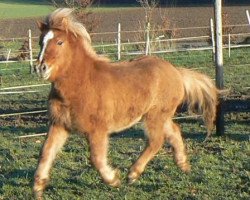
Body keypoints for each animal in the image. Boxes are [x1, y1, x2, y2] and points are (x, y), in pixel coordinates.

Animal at [33, 7, 219, 198]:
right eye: (40, 42)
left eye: (60, 42)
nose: (40, 68)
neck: (81, 84)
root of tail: (176, 72)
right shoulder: (59, 125)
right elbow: (46, 152)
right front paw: (38, 188)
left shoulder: (97, 129)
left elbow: (96, 158)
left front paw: (113, 179)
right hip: (160, 116)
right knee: (174, 131)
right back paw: (183, 165)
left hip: (154, 116)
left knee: (156, 141)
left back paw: (133, 174)